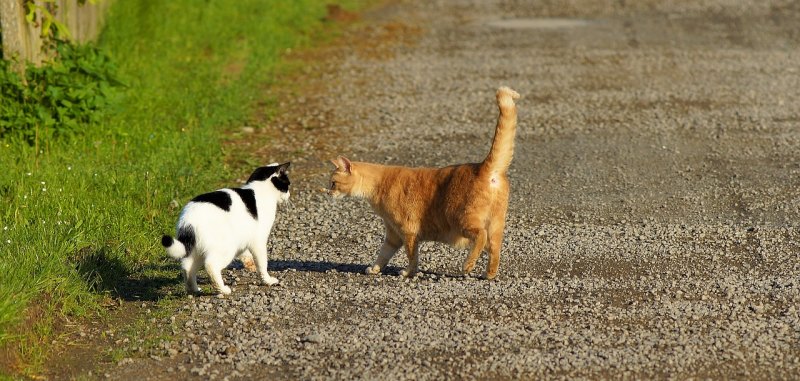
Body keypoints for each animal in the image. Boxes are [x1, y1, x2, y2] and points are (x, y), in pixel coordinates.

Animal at [161, 161, 290, 294]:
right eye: (287, 185)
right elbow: (262, 263)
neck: (261, 188)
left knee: (187, 267)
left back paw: (194, 290)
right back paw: (223, 289)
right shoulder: (258, 240)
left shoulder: (244, 235)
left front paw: (248, 262)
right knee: (210, 265)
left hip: (196, 251)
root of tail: (187, 220)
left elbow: (244, 252)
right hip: (225, 247)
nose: (289, 195)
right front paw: (267, 280)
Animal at [328, 87, 520, 280]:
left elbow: (412, 256)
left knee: (481, 236)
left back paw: (468, 265)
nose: (328, 193)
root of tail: (483, 167)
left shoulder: (408, 231)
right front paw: (375, 268)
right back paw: (490, 274)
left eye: (333, 183)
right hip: (495, 224)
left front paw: (407, 273)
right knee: (495, 248)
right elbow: (383, 254)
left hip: (461, 219)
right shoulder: (393, 235)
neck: (379, 185)